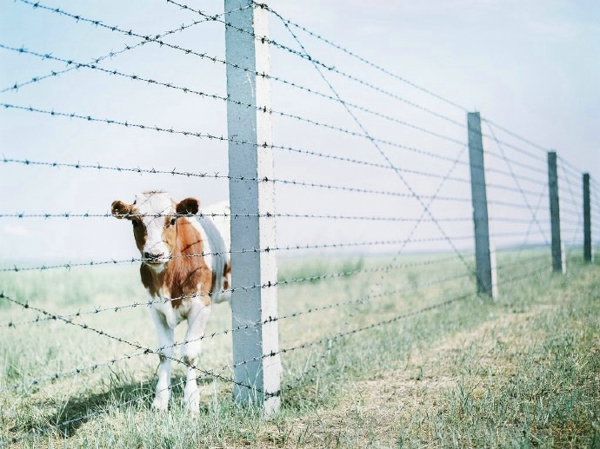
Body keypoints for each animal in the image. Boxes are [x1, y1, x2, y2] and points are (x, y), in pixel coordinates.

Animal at [110, 191, 230, 412]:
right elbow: (164, 353)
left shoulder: (201, 306)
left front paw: (190, 401)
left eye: (172, 220)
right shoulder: (155, 309)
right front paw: (160, 400)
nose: (154, 254)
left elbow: (189, 353)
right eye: (135, 221)